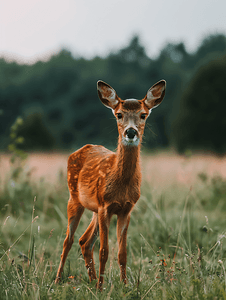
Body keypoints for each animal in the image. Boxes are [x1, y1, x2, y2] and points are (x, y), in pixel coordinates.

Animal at [54, 79, 166, 288]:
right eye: (119, 114)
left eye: (143, 115)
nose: (131, 132)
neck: (121, 185)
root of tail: (81, 149)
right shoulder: (105, 206)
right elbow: (104, 251)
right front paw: (101, 287)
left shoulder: (125, 209)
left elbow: (122, 253)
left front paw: (125, 285)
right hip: (75, 198)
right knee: (68, 240)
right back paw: (58, 280)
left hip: (94, 210)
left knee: (84, 241)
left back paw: (91, 279)